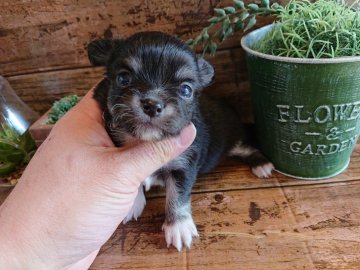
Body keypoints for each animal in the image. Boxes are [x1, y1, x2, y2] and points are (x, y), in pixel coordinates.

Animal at [87, 31, 272, 251]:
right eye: (123, 78)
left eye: (185, 90)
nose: (152, 105)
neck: (144, 141)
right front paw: (133, 203)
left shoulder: (184, 163)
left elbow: (178, 195)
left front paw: (178, 226)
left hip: (232, 138)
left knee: (246, 147)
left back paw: (262, 165)